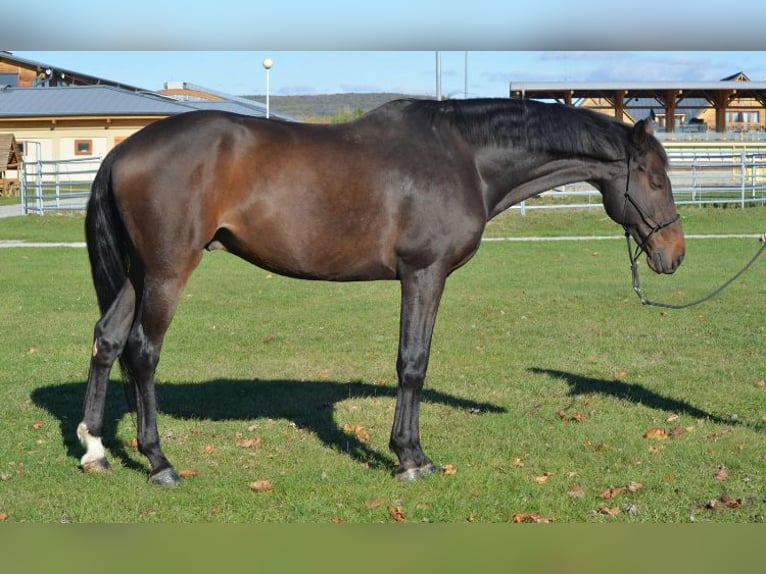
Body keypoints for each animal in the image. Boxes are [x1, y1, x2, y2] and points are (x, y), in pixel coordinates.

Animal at [79, 99, 688, 486]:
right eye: (656, 179)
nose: (674, 254)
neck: (464, 156)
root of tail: (122, 151)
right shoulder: (424, 273)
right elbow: (412, 363)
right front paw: (411, 458)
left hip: (137, 275)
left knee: (107, 341)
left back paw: (95, 450)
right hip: (166, 272)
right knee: (143, 353)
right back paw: (160, 463)